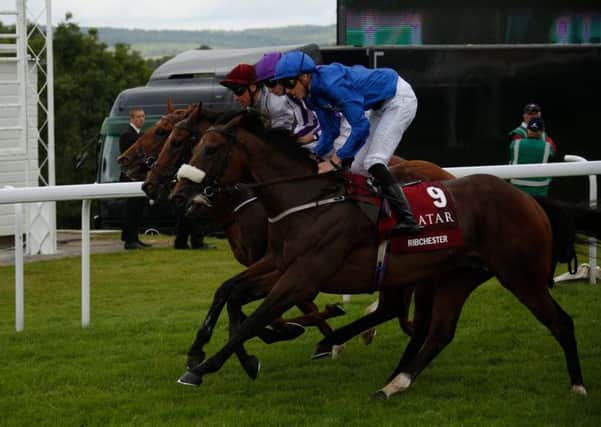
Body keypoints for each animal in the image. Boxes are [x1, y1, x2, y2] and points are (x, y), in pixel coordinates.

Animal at [173, 112, 584, 400]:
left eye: (209, 149)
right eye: (192, 146)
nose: (183, 195)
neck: (306, 200)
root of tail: (529, 199)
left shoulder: (303, 277)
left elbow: (254, 317)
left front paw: (205, 366)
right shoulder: (279, 265)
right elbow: (230, 292)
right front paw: (214, 355)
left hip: (520, 276)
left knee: (561, 322)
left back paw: (578, 387)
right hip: (456, 275)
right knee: (436, 331)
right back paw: (392, 383)